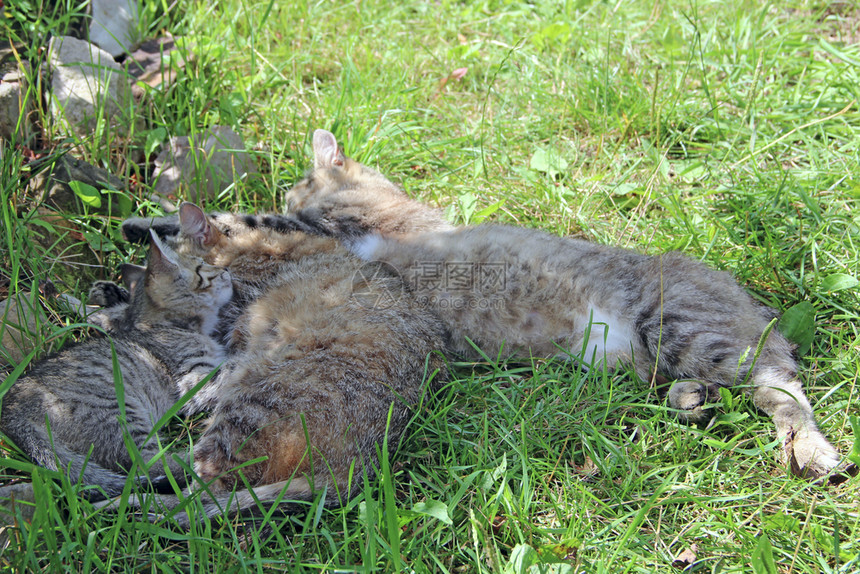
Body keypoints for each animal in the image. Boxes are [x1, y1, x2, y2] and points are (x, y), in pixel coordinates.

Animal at [0, 233, 232, 504]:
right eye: (201, 267)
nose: (225, 269)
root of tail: (13, 413)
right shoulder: (193, 377)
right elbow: (232, 368)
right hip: (119, 414)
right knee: (149, 464)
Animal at [113, 204, 446, 532]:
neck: (247, 248)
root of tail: (357, 466)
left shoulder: (227, 325)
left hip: (251, 399)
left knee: (203, 494)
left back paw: (132, 503)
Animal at [278, 129, 848, 482]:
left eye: (296, 186)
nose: (286, 197)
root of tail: (752, 301)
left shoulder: (355, 221)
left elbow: (318, 223)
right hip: (658, 357)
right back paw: (692, 399)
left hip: (686, 328)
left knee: (781, 387)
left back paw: (809, 450)